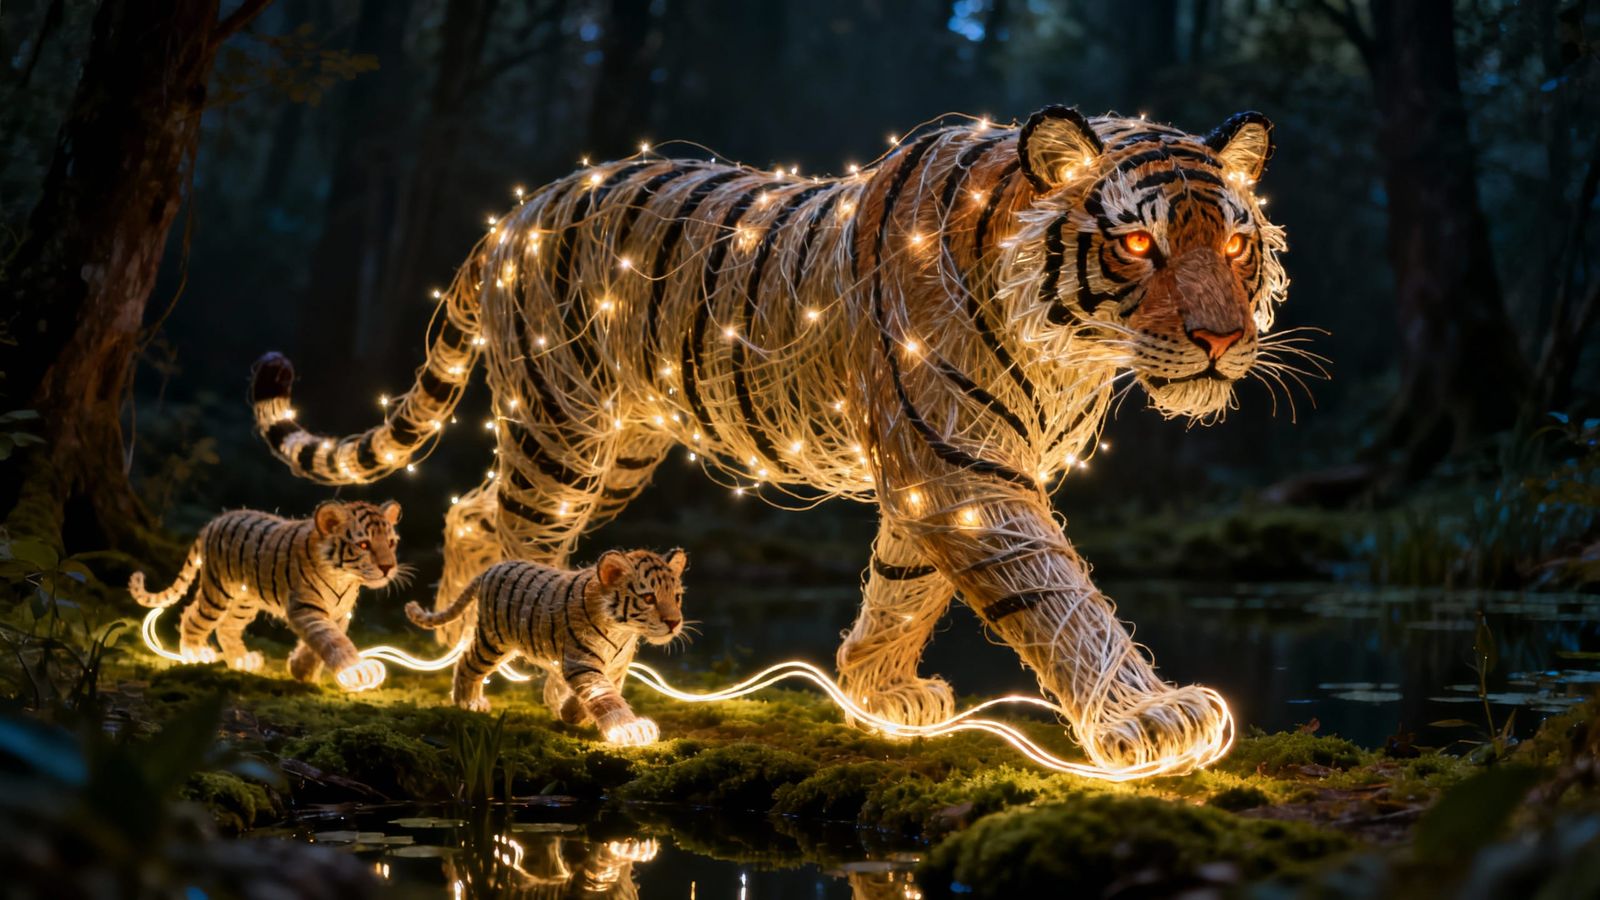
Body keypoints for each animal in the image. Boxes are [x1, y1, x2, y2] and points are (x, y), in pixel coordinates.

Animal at [129, 500, 404, 691]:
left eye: (391, 543)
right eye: (364, 545)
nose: (388, 567)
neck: (345, 578)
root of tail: (215, 521)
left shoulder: (338, 613)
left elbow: (317, 644)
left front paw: (302, 670)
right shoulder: (306, 607)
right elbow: (332, 640)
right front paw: (359, 672)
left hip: (245, 601)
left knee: (227, 627)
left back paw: (242, 660)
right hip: (218, 591)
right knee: (193, 617)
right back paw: (196, 654)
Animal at [404, 548, 686, 746]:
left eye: (676, 597)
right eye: (648, 598)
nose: (674, 622)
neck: (624, 631)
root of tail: (491, 568)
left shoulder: (615, 667)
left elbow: (602, 690)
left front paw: (570, 713)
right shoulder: (581, 661)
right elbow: (604, 695)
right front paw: (630, 730)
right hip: (493, 641)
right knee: (466, 662)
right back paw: (468, 703)